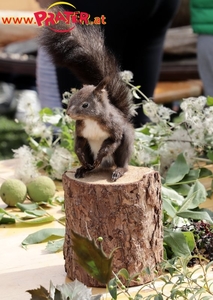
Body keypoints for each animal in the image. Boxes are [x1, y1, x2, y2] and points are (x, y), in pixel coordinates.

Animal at [39, 7, 135, 180]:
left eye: (85, 105)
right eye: (70, 101)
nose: (69, 113)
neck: (91, 119)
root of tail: (107, 165)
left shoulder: (115, 129)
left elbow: (113, 142)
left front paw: (100, 156)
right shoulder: (81, 132)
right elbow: (78, 146)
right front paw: (82, 161)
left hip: (126, 144)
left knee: (122, 161)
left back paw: (117, 170)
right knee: (89, 162)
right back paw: (84, 169)